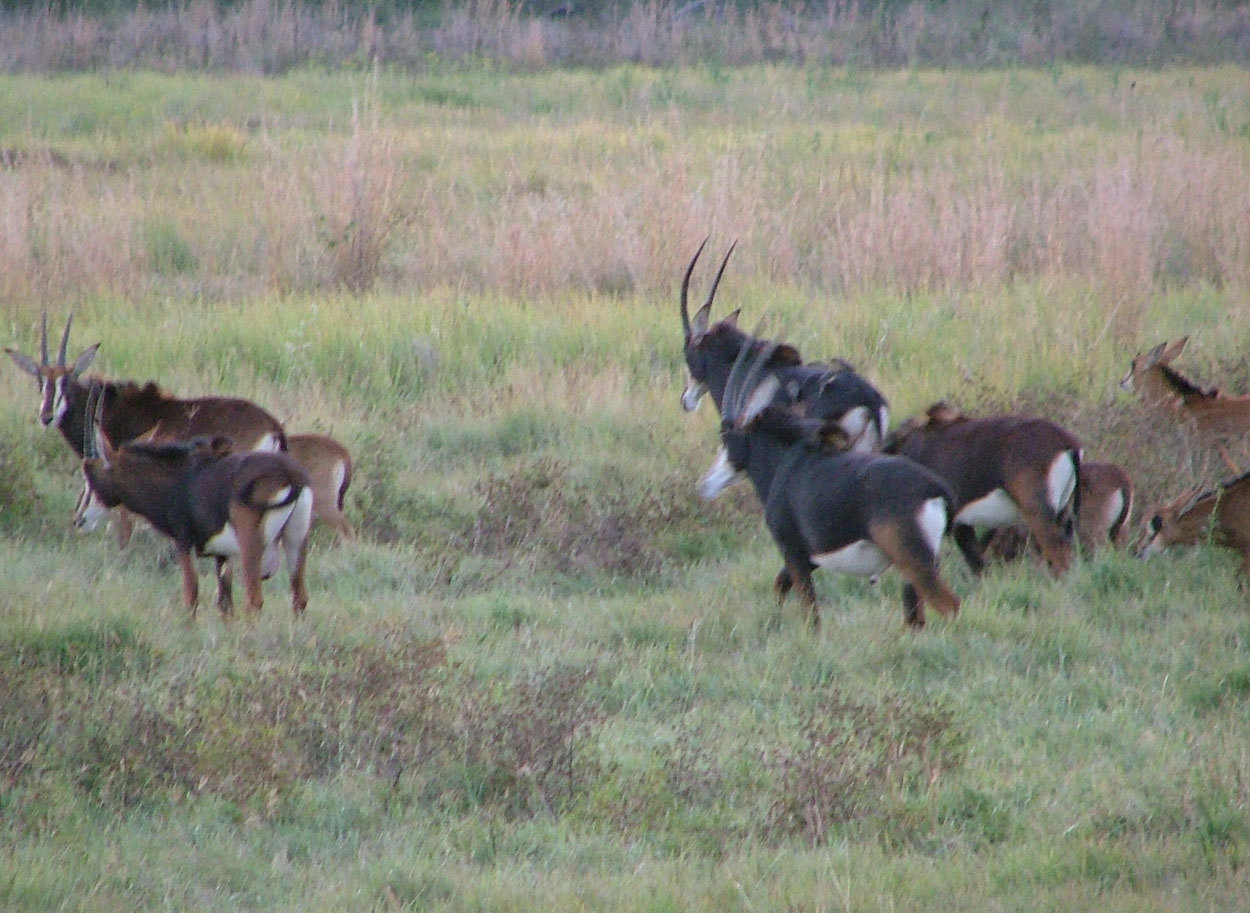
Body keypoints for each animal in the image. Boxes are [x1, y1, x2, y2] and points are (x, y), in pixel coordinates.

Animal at [80, 390, 315, 612]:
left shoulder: (184, 544)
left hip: (250, 546)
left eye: (90, 475)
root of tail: (290, 476)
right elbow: (225, 604)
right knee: (300, 599)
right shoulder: (222, 555)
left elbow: (191, 598)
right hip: (295, 539)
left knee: (254, 600)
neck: (178, 478)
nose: (79, 518)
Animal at [700, 337, 960, 630]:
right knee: (916, 613)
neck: (786, 461)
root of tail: (936, 490)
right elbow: (781, 585)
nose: (706, 484)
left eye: (725, 437)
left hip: (913, 561)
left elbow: (810, 611)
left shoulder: (794, 552)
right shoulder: (813, 557)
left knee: (950, 605)